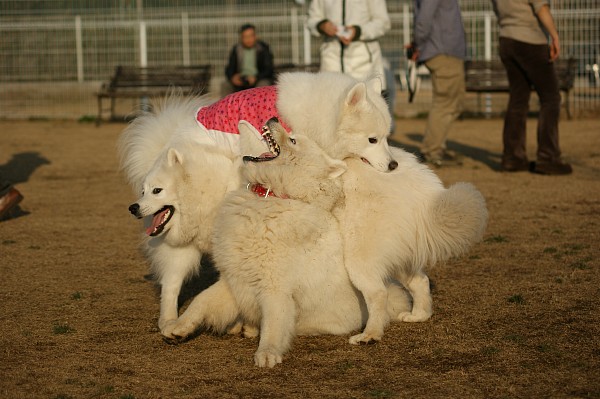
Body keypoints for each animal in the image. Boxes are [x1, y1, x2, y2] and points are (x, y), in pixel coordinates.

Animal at [119, 71, 396, 334]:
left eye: (385, 138)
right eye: (372, 139)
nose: (393, 165)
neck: (317, 120)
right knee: (171, 284)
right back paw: (171, 322)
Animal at [163, 119, 412, 368]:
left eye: (292, 140)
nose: (272, 119)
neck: (272, 195)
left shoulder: (275, 289)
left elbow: (274, 323)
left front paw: (268, 353)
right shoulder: (234, 278)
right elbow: (200, 301)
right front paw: (178, 327)